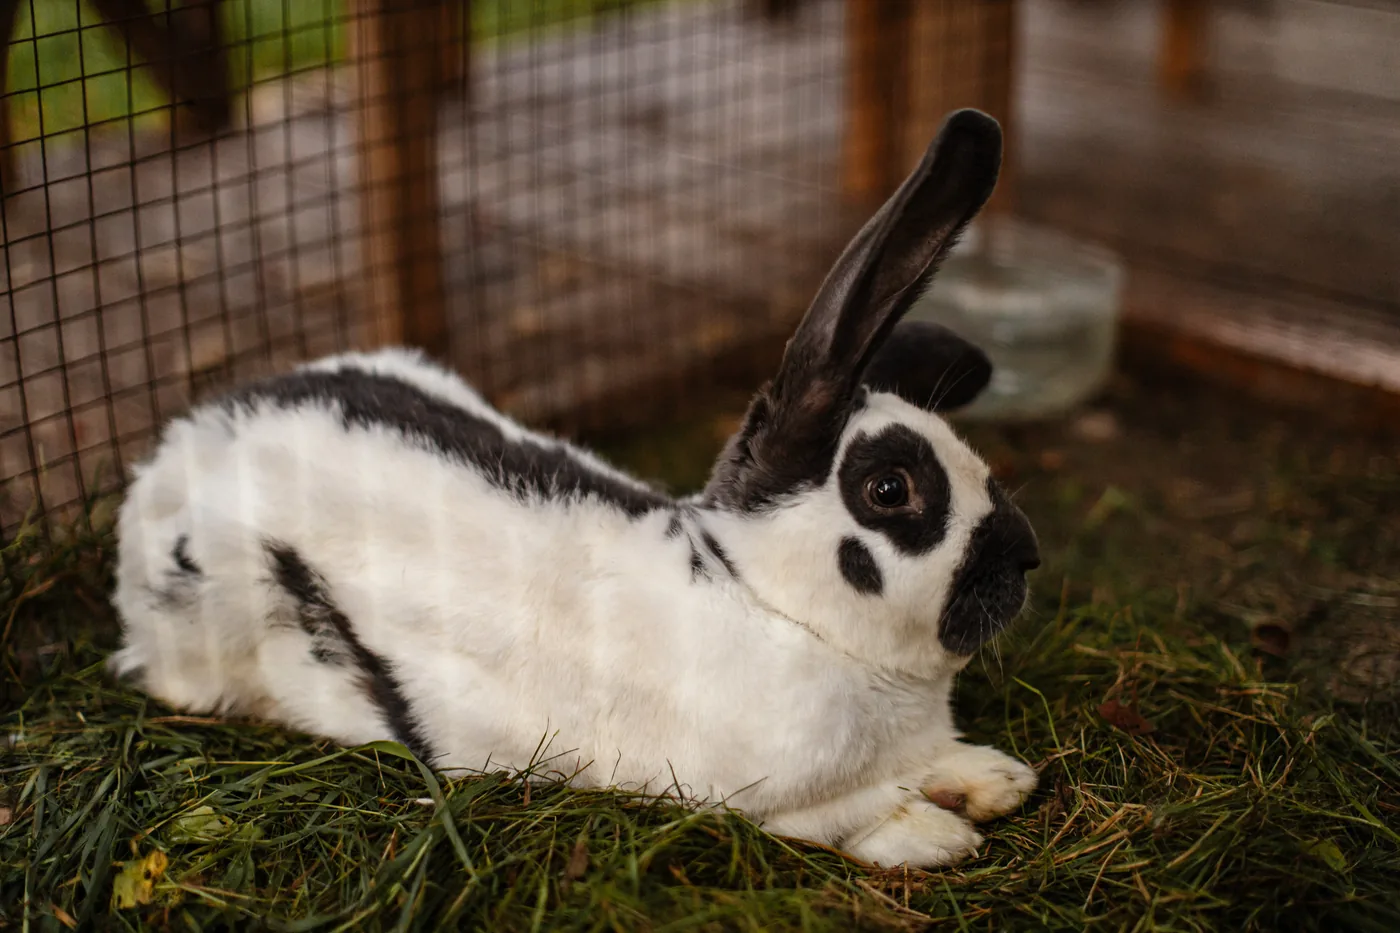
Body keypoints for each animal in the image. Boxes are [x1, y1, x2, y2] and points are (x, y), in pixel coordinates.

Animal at [109, 108, 1042, 869]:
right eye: (890, 489)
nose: (1027, 558)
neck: (769, 602)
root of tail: (179, 443)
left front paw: (995, 778)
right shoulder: (747, 796)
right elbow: (849, 816)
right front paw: (937, 832)